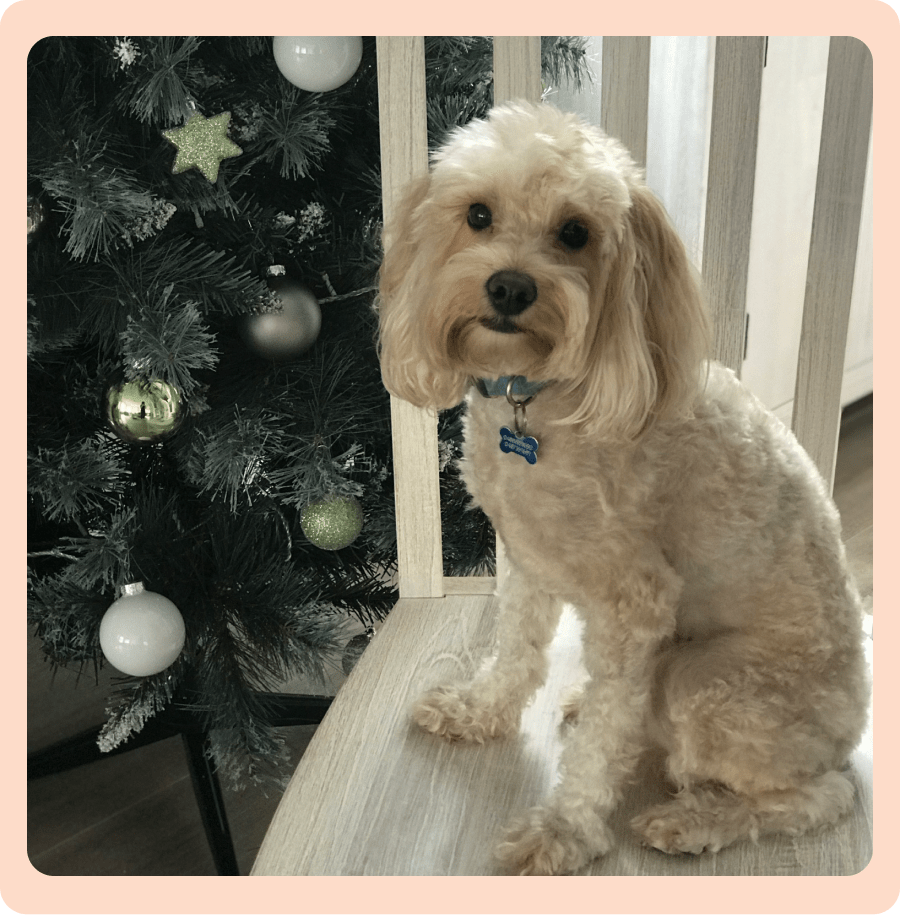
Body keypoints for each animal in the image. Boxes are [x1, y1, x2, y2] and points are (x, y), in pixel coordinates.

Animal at [374, 102, 872, 880]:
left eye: (575, 231)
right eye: (478, 214)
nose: (510, 287)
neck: (542, 400)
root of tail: (856, 723)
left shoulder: (635, 601)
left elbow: (601, 744)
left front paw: (564, 829)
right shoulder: (528, 560)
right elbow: (516, 652)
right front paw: (478, 712)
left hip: (708, 682)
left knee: (820, 794)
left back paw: (695, 818)